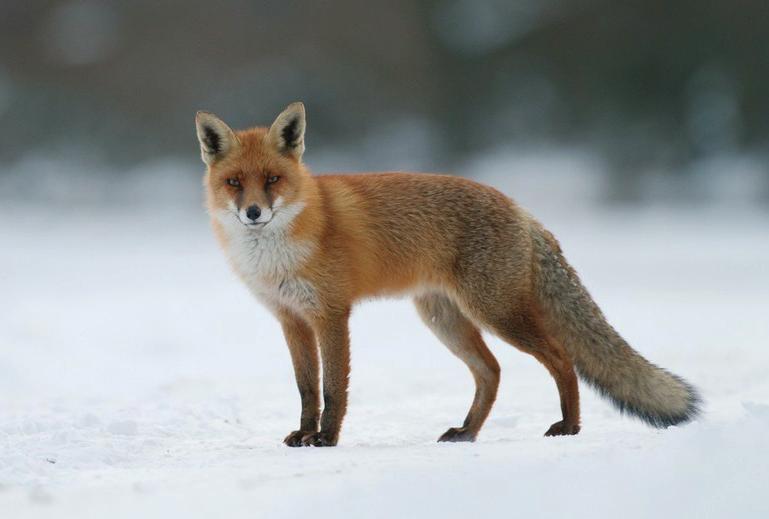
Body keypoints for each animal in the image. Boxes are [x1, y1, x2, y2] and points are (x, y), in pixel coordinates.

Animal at [195, 104, 700, 446]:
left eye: (273, 180)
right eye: (235, 183)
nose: (254, 213)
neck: (276, 254)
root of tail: (520, 209)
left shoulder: (332, 314)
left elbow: (334, 389)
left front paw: (326, 439)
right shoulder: (291, 319)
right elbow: (307, 389)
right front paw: (304, 436)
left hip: (497, 313)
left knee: (561, 359)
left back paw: (570, 426)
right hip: (445, 319)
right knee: (492, 371)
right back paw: (468, 432)